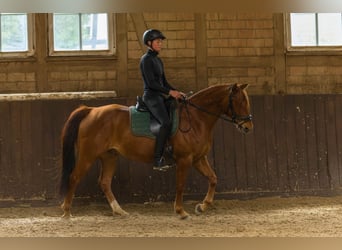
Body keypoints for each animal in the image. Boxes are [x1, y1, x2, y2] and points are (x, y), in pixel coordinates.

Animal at [58, 83, 252, 219]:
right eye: (239, 101)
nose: (248, 127)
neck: (196, 119)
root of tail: (91, 110)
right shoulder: (185, 159)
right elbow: (180, 185)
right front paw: (180, 211)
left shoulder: (198, 158)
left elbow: (213, 179)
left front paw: (202, 206)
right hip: (88, 156)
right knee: (74, 177)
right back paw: (67, 212)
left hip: (109, 156)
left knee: (104, 182)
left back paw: (119, 211)